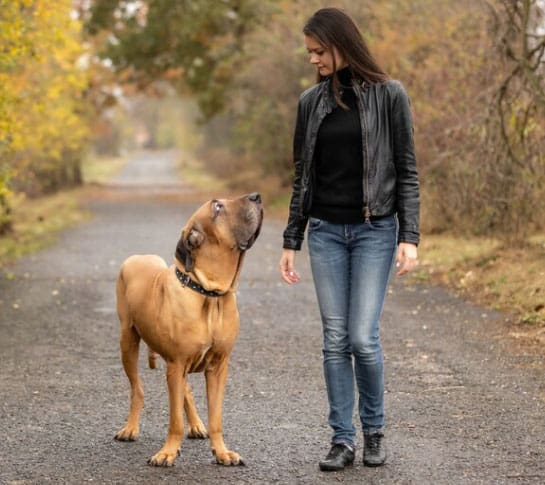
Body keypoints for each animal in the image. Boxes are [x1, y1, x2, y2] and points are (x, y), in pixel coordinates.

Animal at [113, 192, 262, 466]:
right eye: (218, 207)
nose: (257, 196)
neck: (209, 293)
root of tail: (138, 256)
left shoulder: (218, 367)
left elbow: (216, 418)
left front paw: (222, 452)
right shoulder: (177, 362)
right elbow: (174, 421)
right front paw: (168, 452)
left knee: (185, 391)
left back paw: (195, 425)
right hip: (128, 342)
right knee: (137, 389)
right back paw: (130, 428)